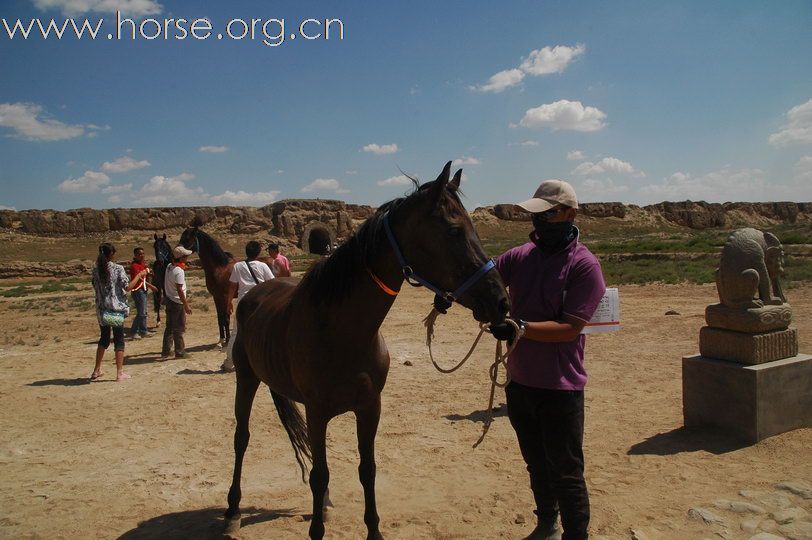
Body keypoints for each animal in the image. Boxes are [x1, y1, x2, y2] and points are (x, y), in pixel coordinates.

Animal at [180, 218, 235, 346]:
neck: (219, 268)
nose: (177, 255)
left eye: (187, 239)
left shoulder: (225, 296)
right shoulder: (216, 296)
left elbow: (226, 318)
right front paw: (221, 340)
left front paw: (227, 340)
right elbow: (220, 318)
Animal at [225, 162, 510, 536]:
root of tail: (257, 292)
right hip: (246, 379)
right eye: (453, 230)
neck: (342, 333)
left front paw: (372, 528)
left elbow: (366, 469)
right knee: (241, 438)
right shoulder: (318, 412)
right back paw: (232, 510)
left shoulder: (370, 408)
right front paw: (316, 529)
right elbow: (319, 474)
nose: (501, 300)